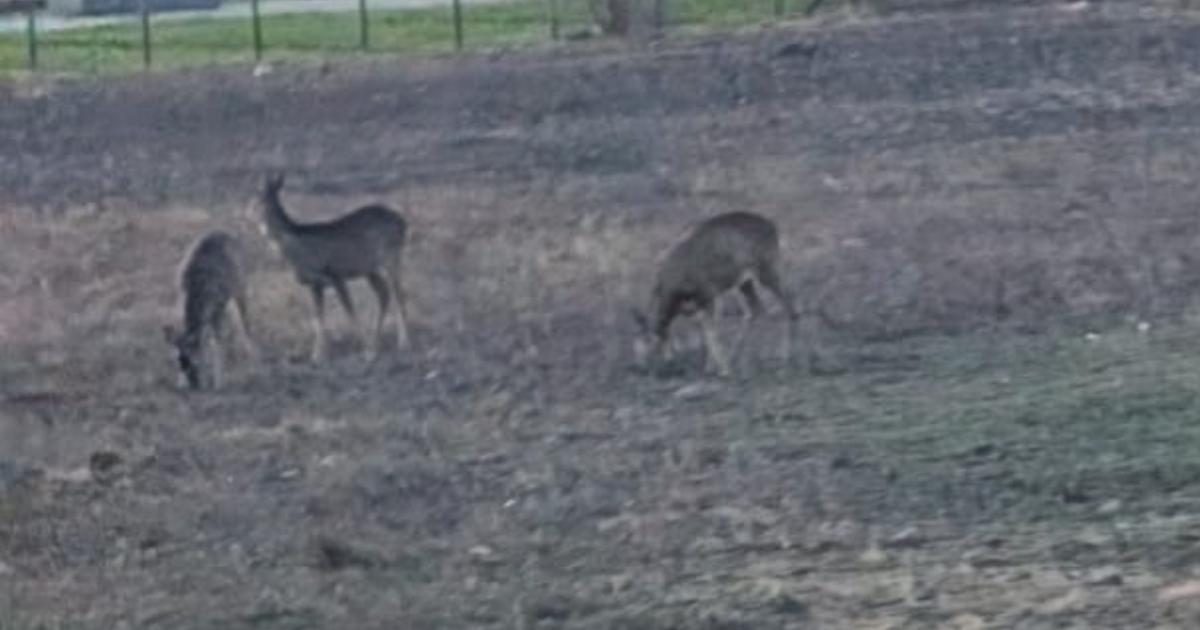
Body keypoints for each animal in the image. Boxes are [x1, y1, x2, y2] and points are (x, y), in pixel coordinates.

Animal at [163, 231, 259, 390]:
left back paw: (253, 358)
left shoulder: (216, 310)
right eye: (179, 362)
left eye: (194, 362)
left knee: (245, 322)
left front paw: (217, 383)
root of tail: (229, 234)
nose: (193, 384)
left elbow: (215, 343)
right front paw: (182, 382)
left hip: (241, 286)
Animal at [254, 174, 410, 363]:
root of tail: (403, 222)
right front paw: (318, 355)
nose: (263, 228)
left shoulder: (336, 274)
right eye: (256, 202)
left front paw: (365, 350)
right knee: (384, 294)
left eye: (264, 203)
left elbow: (350, 311)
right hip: (370, 269)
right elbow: (318, 318)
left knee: (398, 294)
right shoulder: (315, 284)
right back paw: (377, 341)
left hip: (391, 255)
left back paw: (403, 343)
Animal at [631, 211, 800, 378]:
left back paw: (785, 360)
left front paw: (723, 370)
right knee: (756, 309)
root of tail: (773, 227)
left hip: (767, 267)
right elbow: (705, 330)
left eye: (649, 345)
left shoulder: (708, 293)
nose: (641, 368)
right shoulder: (697, 304)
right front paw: (710, 366)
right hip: (745, 282)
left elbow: (711, 332)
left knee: (789, 304)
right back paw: (738, 357)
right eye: (636, 346)